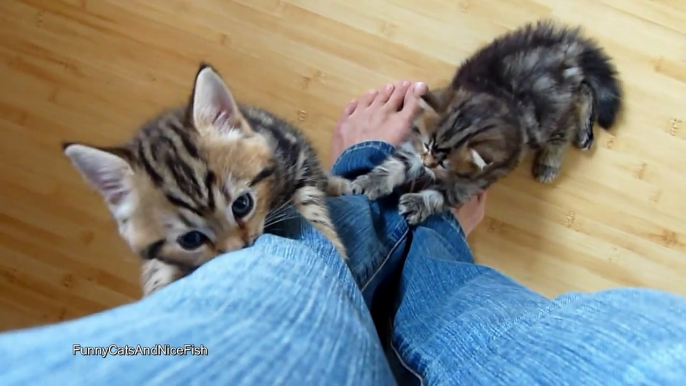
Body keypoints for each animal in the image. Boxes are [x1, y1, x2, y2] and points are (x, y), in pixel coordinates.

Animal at [62, 65, 352, 298]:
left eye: (242, 205)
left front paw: (333, 246)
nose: (238, 249)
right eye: (191, 239)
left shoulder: (295, 151)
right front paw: (159, 282)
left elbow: (311, 204)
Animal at [352, 21, 628, 225]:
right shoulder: (416, 145)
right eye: (429, 147)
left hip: (552, 112)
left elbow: (442, 194)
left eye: (444, 163)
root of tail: (564, 48)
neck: (497, 100)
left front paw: (418, 203)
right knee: (583, 89)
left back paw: (552, 159)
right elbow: (395, 165)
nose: (427, 164)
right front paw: (370, 182)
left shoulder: (477, 180)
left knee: (570, 115)